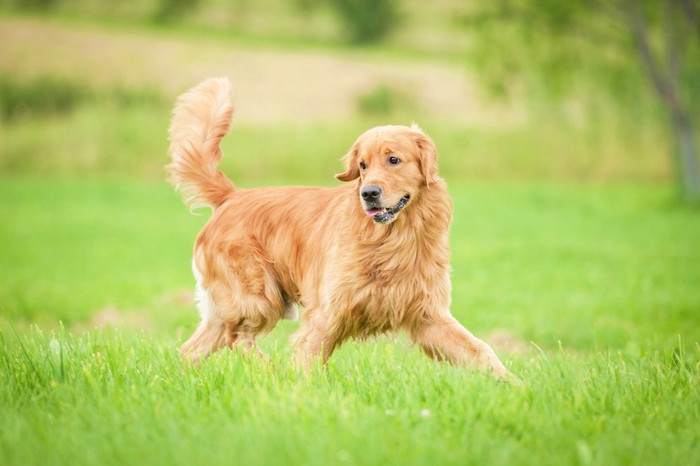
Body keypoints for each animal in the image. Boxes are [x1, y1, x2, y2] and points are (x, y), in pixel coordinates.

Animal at [167, 78, 512, 380]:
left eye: (393, 160)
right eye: (362, 165)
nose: (368, 193)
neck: (391, 240)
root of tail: (230, 196)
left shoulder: (429, 315)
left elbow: (481, 350)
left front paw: (515, 387)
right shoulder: (326, 313)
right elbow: (308, 361)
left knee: (193, 348)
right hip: (258, 298)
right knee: (237, 338)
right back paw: (272, 372)